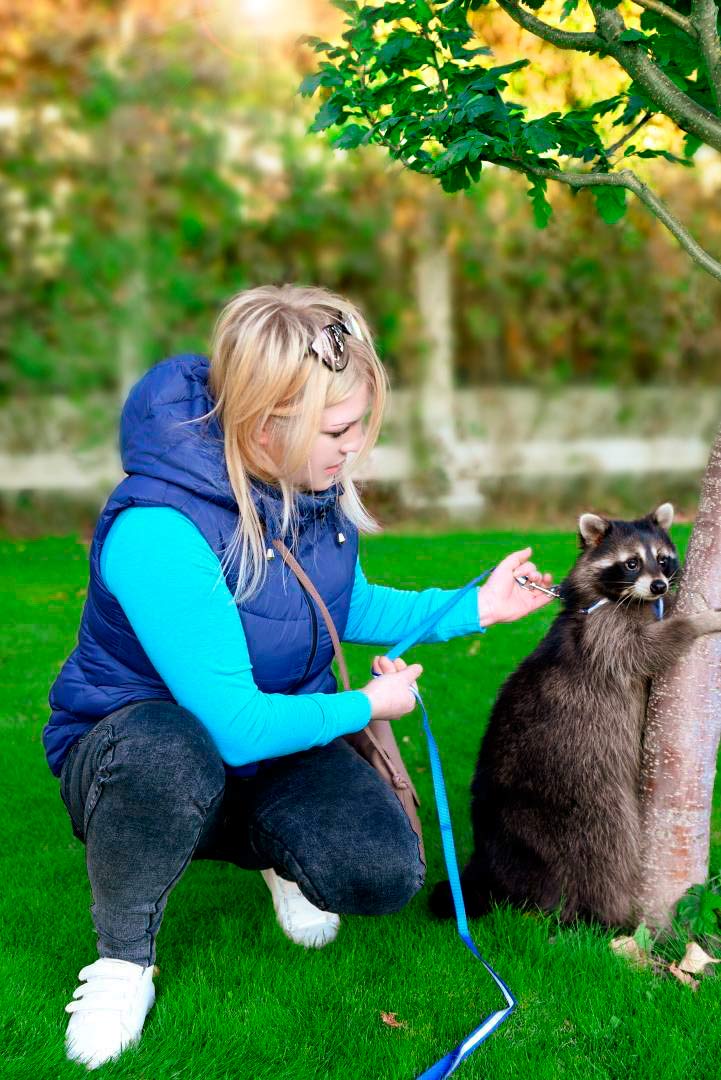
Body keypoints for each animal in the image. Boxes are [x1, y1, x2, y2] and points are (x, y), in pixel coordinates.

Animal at [427, 505, 721, 928]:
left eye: (663, 559)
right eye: (631, 563)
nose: (659, 586)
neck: (618, 599)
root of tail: (487, 848)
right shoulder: (604, 635)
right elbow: (648, 648)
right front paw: (696, 622)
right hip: (580, 793)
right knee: (606, 847)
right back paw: (607, 916)